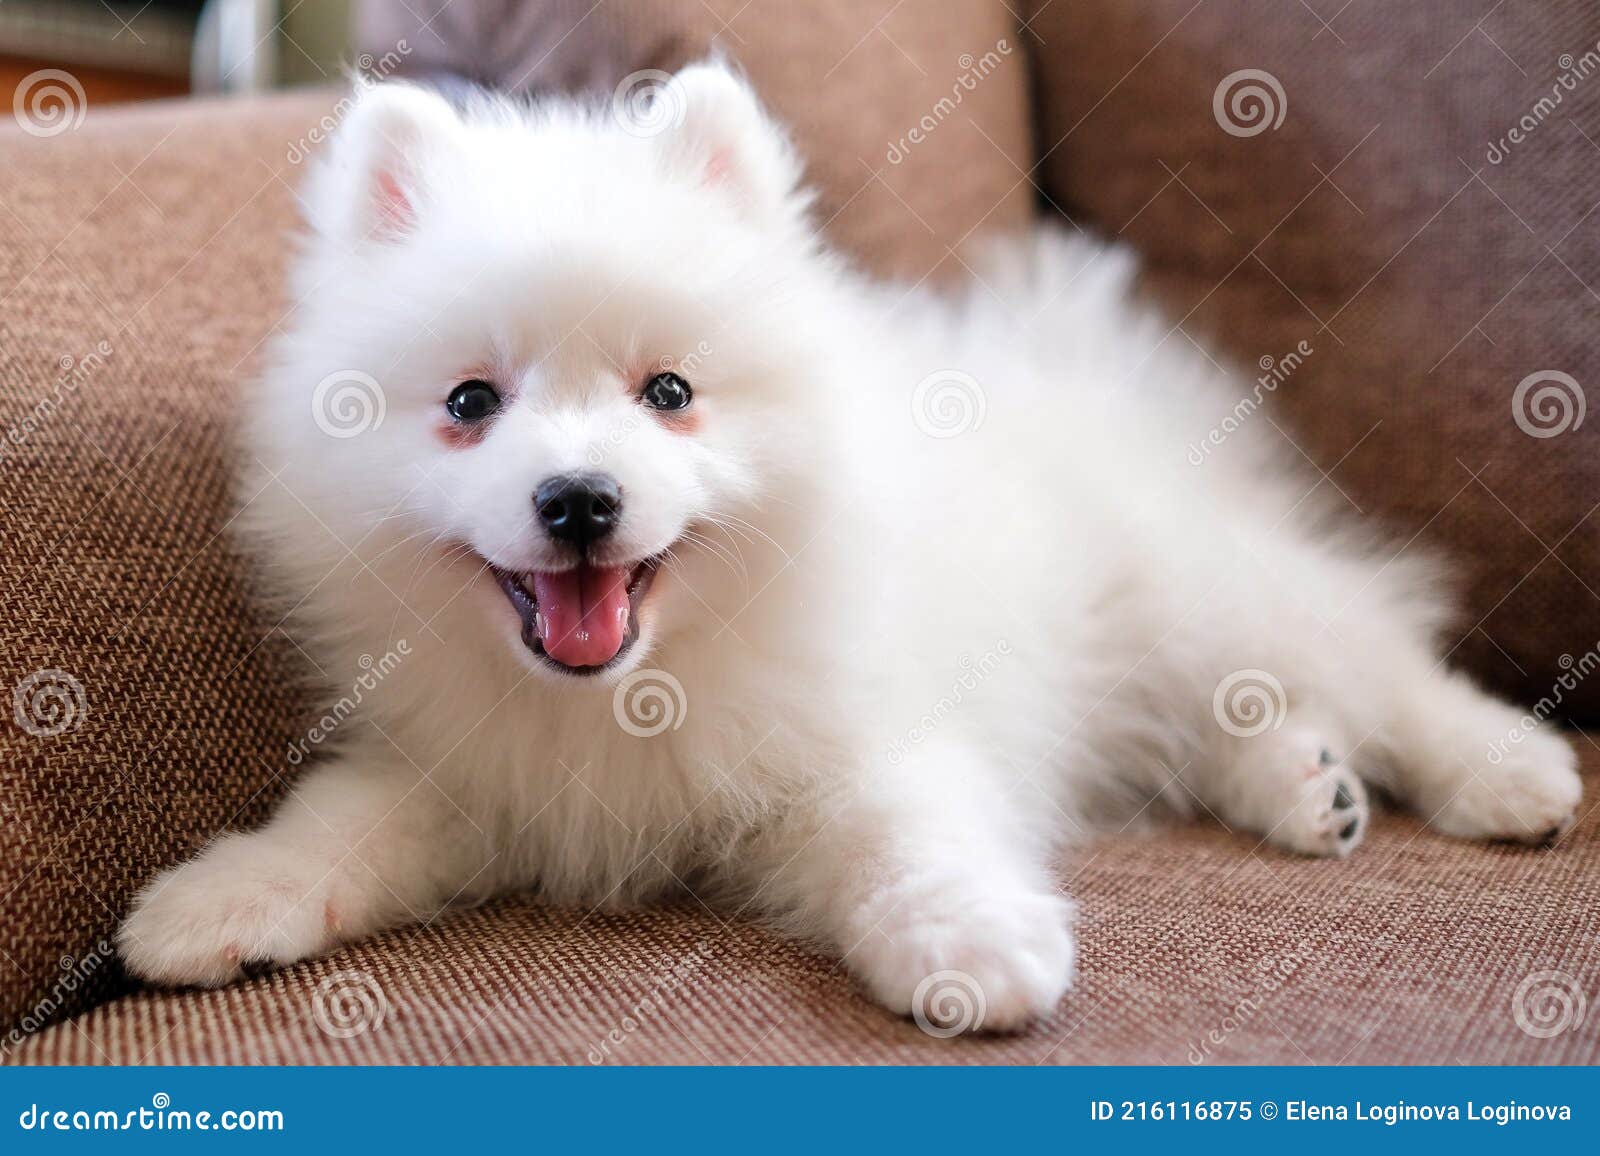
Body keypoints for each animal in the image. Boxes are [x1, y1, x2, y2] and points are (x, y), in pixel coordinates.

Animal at [118, 63, 1580, 1024]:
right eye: (472, 404)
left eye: (669, 391)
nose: (580, 499)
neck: (628, 696)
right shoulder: (469, 770)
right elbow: (341, 820)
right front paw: (216, 902)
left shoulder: (856, 731)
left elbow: (906, 832)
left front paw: (974, 946)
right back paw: (1303, 786)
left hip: (1198, 590)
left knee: (1374, 659)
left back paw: (1503, 768)